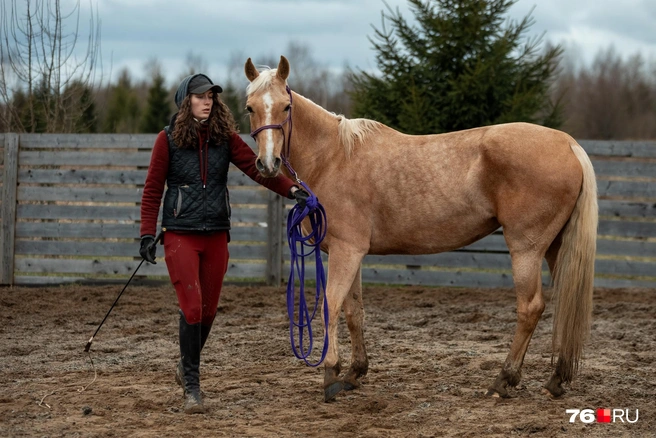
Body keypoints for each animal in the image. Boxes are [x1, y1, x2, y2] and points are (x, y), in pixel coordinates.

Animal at [244, 55, 598, 402]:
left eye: (285, 107)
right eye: (249, 107)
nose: (268, 164)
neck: (334, 156)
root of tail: (568, 144)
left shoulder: (347, 251)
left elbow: (330, 304)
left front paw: (330, 373)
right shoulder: (351, 253)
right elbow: (353, 311)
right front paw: (354, 372)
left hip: (526, 247)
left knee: (530, 307)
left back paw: (503, 381)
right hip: (556, 247)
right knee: (566, 303)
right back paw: (556, 379)